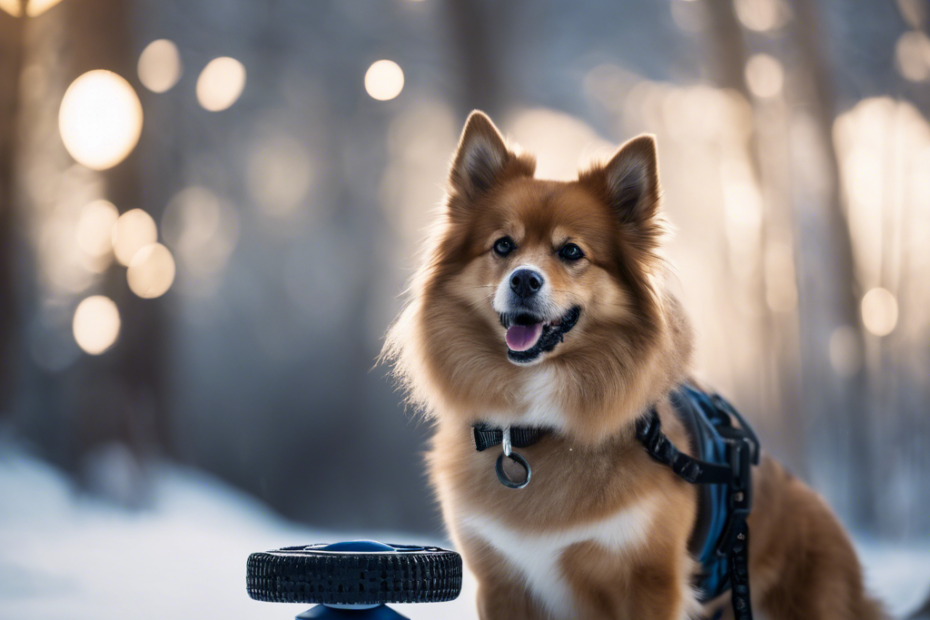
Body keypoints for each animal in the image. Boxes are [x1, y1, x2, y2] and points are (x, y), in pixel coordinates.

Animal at [380, 112, 880, 620]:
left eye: (571, 251)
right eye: (503, 246)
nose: (523, 280)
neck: (539, 426)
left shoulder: (649, 581)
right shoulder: (501, 582)